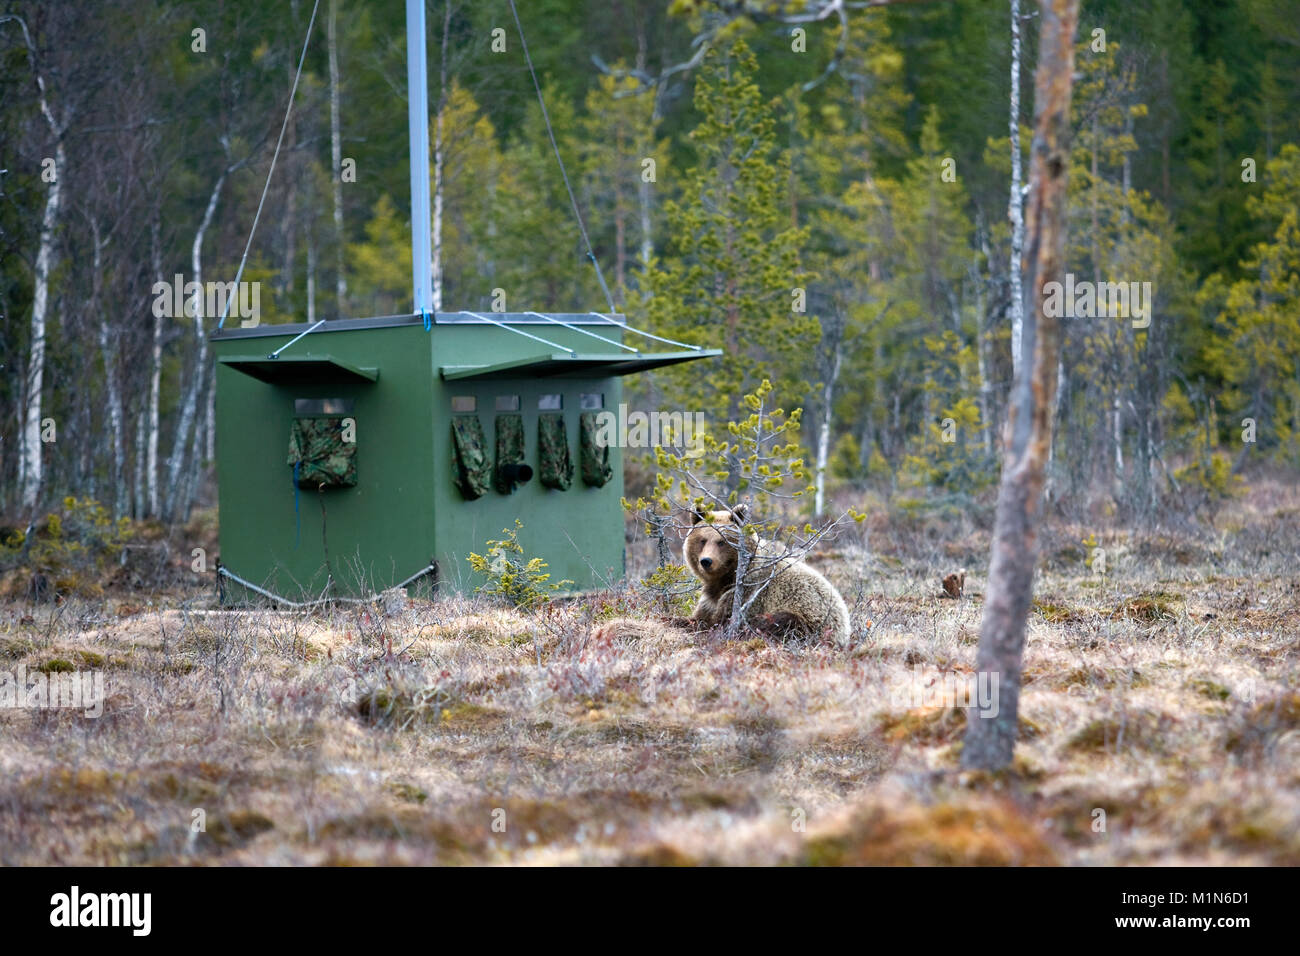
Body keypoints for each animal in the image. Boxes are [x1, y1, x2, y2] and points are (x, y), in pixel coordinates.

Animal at [597, 505, 852, 644]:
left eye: (722, 541)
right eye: (703, 540)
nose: (706, 561)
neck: (726, 578)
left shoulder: (748, 594)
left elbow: (716, 623)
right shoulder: (710, 598)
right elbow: (699, 616)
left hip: (811, 621)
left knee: (780, 621)